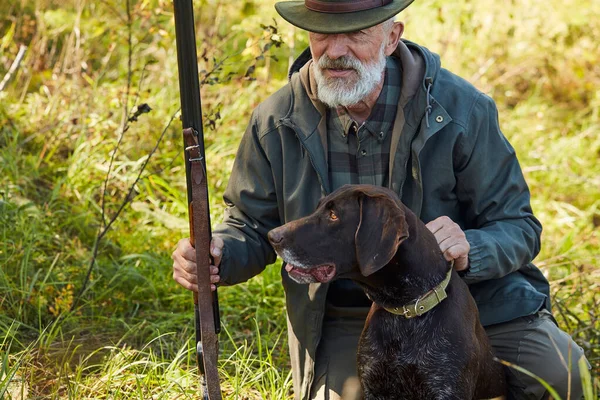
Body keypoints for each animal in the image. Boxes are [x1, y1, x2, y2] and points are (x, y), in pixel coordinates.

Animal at [270, 184, 504, 400]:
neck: (407, 309)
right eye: (318, 208)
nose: (272, 236)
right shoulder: (374, 386)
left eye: (333, 215)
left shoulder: (445, 388)